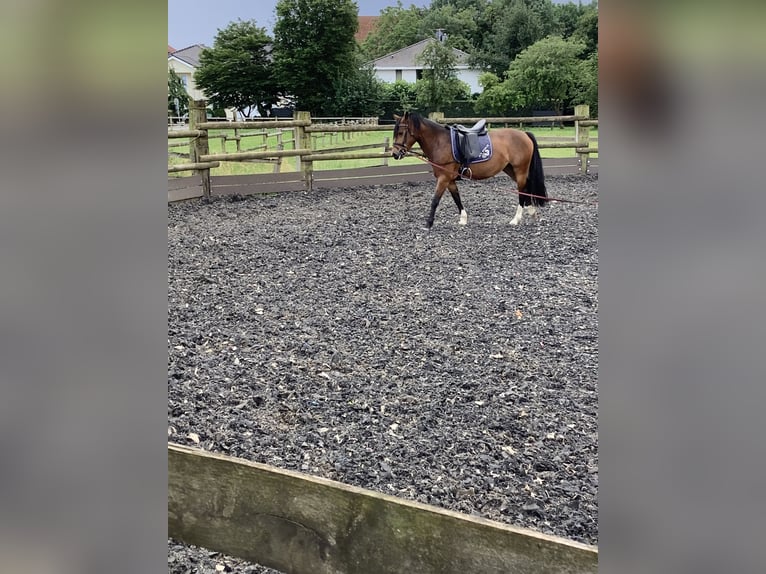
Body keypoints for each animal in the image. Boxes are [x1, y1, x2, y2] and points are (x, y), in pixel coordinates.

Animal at [392, 111, 548, 228]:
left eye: (401, 132)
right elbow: (457, 198)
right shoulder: (449, 180)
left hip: (520, 170)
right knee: (526, 188)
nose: (395, 154)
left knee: (522, 191)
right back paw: (531, 211)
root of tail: (524, 134)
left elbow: (435, 200)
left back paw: (516, 219)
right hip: (511, 170)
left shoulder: (443, 179)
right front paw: (463, 219)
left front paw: (428, 223)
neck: (440, 142)